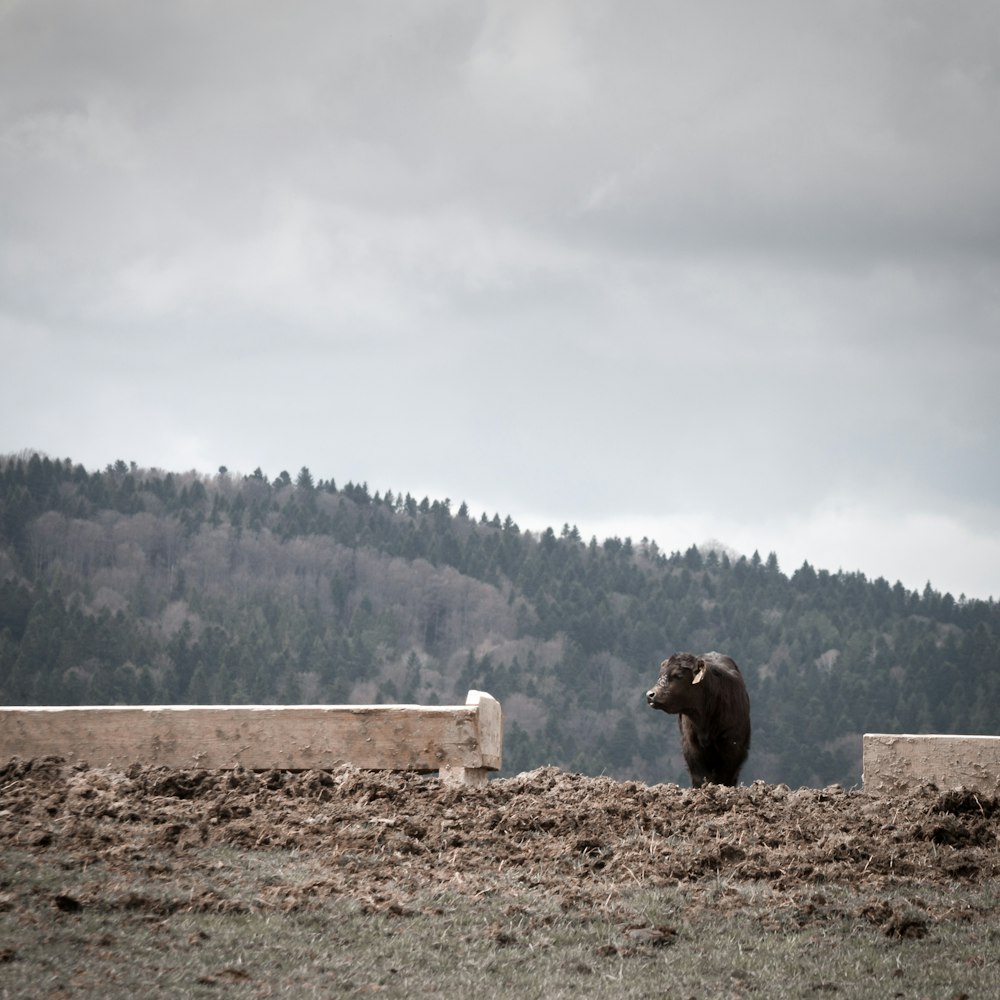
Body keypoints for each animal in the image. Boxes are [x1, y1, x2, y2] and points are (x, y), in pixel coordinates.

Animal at [648, 652, 752, 784]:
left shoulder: (733, 747)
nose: (650, 695)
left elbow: (724, 778)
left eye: (678, 675)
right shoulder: (691, 748)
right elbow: (700, 777)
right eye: (660, 675)